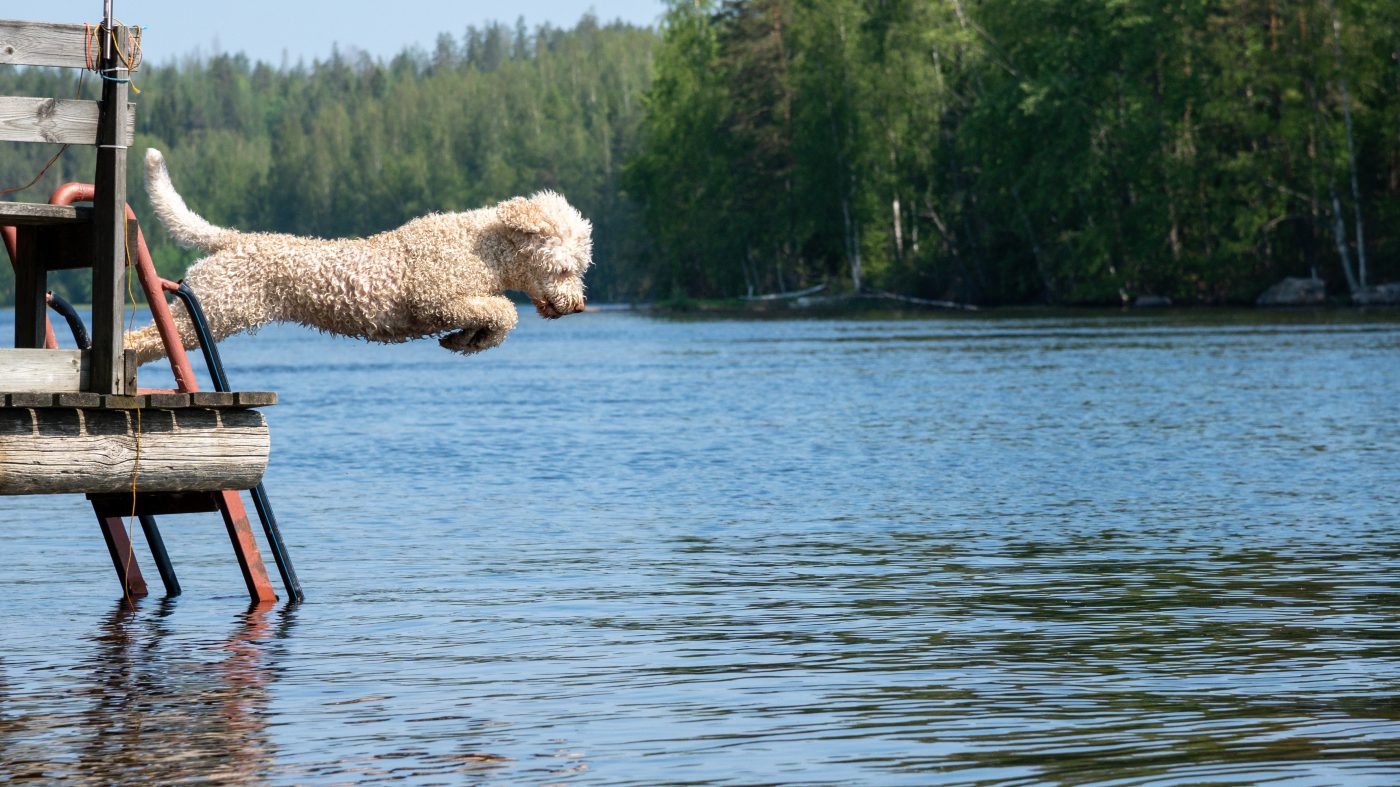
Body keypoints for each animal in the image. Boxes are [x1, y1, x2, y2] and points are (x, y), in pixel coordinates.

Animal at [126, 146, 590, 361]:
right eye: (563, 268)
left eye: (582, 269)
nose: (579, 306)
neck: (483, 249)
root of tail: (234, 240)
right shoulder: (436, 299)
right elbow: (504, 311)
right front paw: (470, 336)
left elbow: (495, 320)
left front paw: (465, 341)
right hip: (212, 312)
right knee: (145, 337)